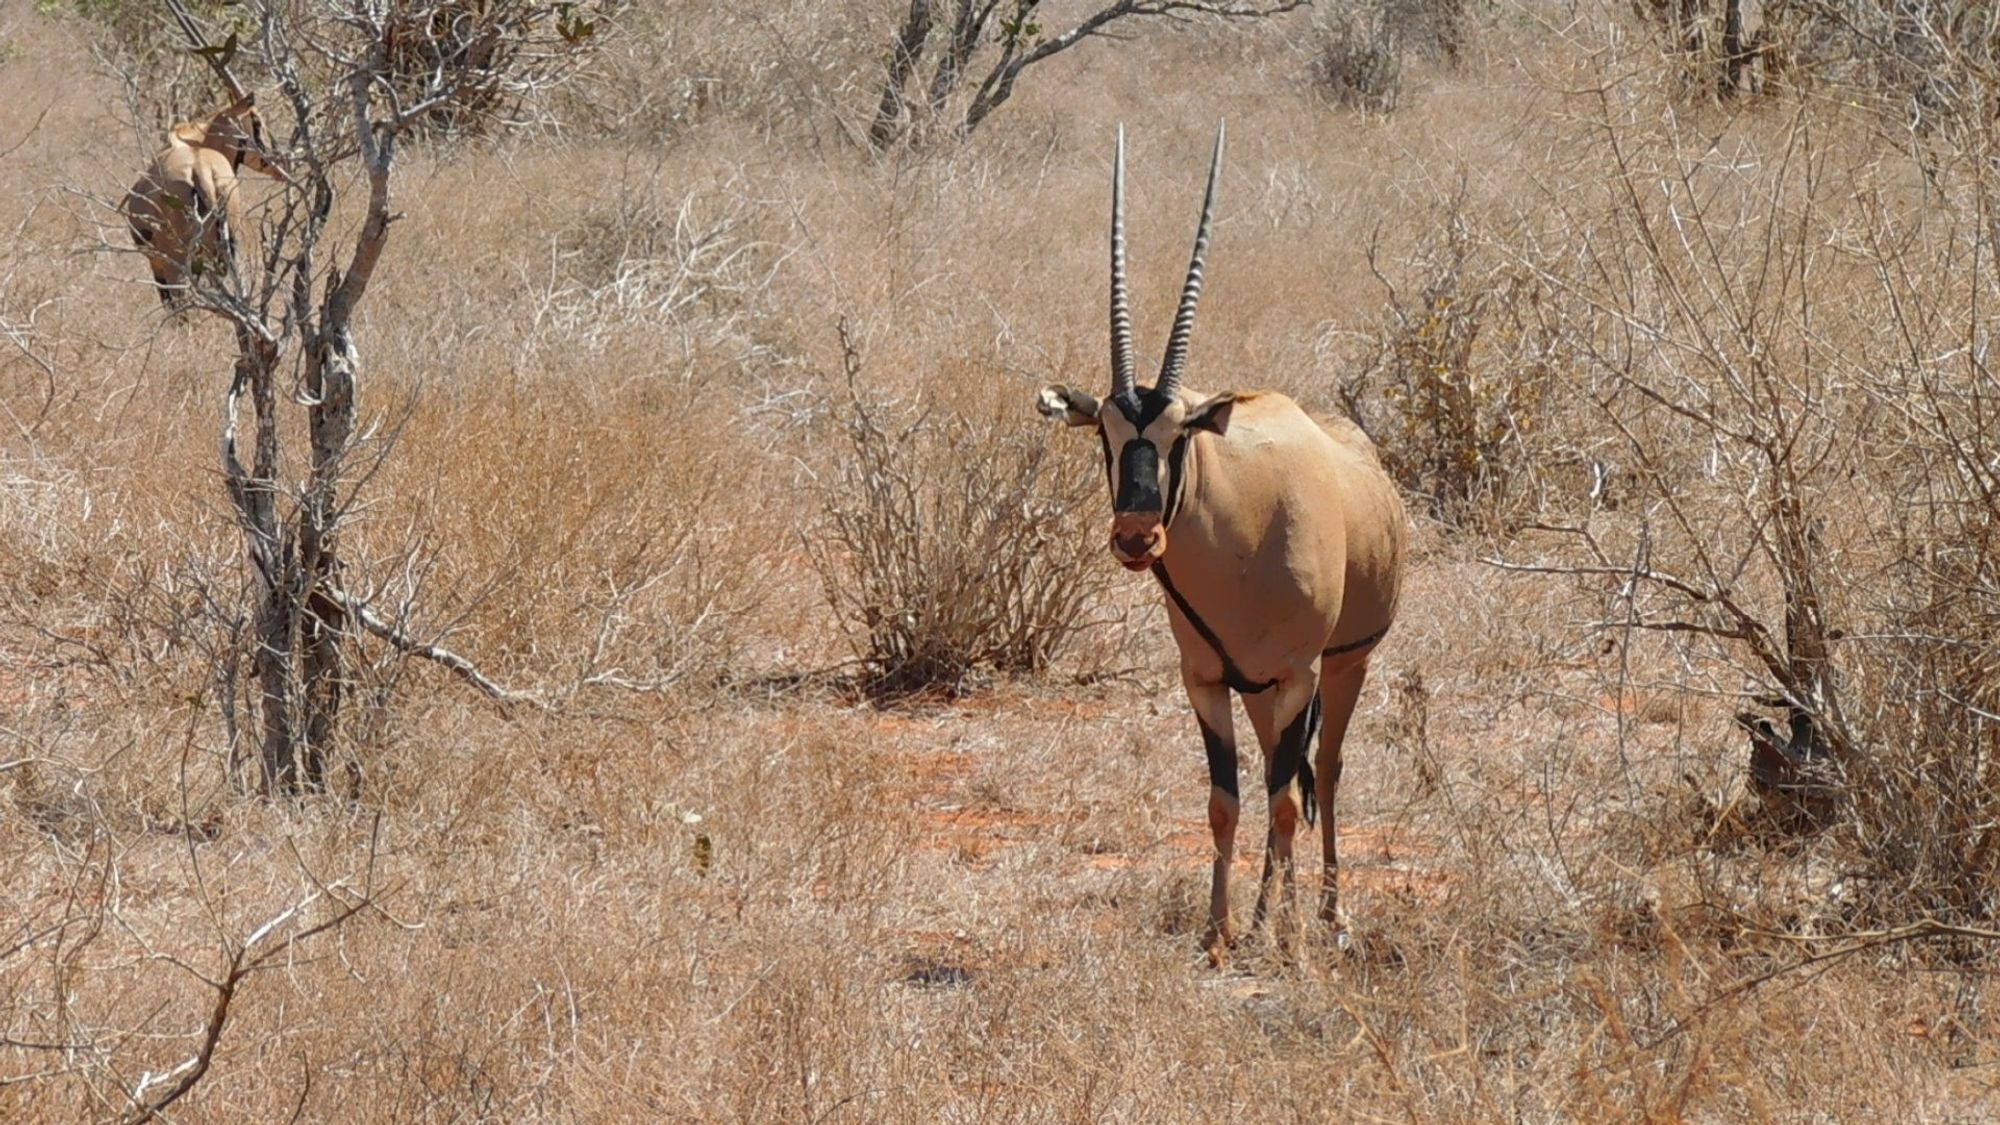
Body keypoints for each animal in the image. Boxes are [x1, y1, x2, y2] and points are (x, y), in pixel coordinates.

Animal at [121, 94, 284, 304]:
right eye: (257, 122)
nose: (280, 162)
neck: (196, 144)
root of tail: (199, 168)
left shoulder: (158, 265)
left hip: (178, 262)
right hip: (228, 247)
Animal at [1048, 124, 1408, 964]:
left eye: (1180, 433)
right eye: (1104, 432)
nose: (1136, 535)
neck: (1241, 538)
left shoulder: (1301, 673)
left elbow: (1283, 801)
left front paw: (1286, 936)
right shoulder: (1208, 679)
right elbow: (1226, 799)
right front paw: (1219, 932)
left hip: (1344, 664)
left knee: (1325, 770)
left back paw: (1326, 915)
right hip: (1260, 690)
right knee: (1286, 772)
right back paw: (1265, 912)